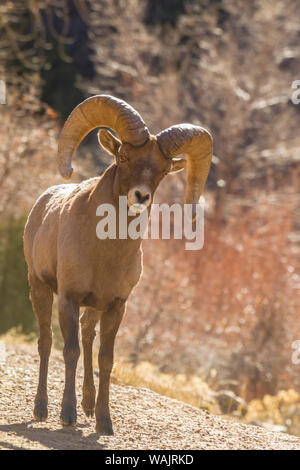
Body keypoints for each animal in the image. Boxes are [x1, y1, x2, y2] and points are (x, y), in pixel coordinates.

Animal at [24, 94, 213, 434]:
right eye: (124, 156)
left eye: (164, 169)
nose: (141, 196)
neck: (104, 252)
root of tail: (41, 203)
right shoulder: (68, 298)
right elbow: (69, 351)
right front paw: (67, 415)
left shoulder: (115, 306)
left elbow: (105, 359)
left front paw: (103, 422)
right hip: (40, 288)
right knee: (46, 342)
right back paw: (42, 409)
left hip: (93, 308)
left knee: (88, 337)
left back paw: (87, 406)